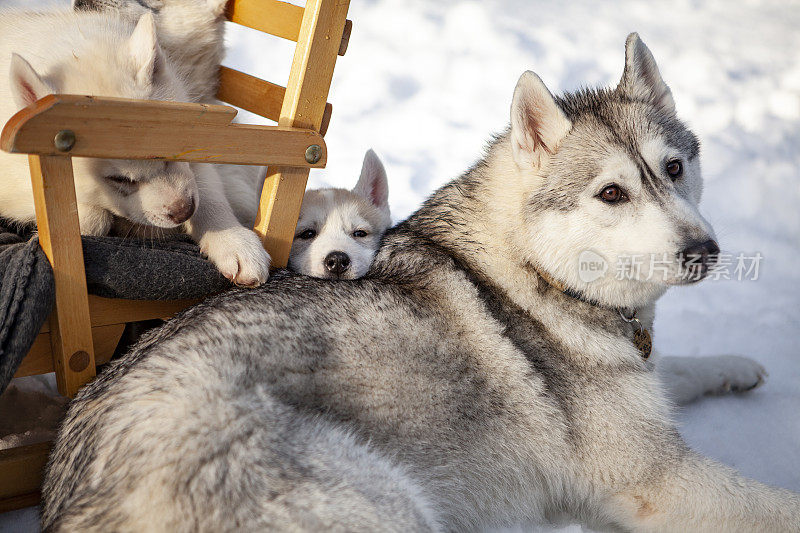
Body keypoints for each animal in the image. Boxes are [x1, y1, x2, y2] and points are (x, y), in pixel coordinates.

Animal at [0, 8, 270, 284]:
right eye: (120, 180)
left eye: (177, 147)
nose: (184, 212)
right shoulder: (15, 186)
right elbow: (88, 215)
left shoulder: (198, 156)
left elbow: (210, 196)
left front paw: (235, 241)